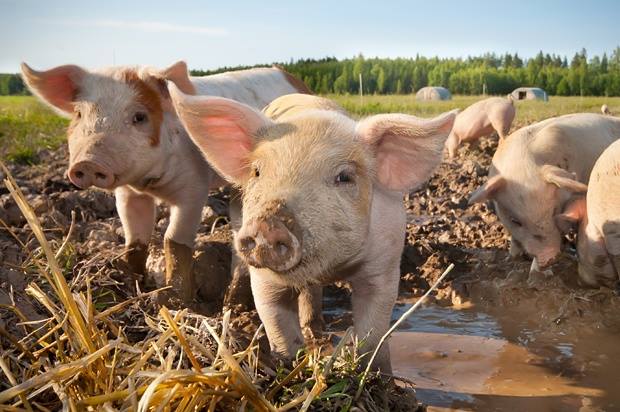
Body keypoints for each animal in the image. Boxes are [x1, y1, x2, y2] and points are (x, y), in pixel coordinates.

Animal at [20, 61, 310, 306]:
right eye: (79, 114)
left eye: (139, 117)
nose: (88, 163)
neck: (150, 184)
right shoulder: (128, 195)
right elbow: (135, 240)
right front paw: (132, 286)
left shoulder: (194, 188)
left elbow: (174, 240)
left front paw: (176, 302)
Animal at [170, 87, 456, 374]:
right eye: (257, 171)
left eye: (344, 177)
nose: (267, 224)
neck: (332, 267)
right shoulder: (264, 279)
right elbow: (277, 323)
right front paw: (289, 364)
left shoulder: (384, 264)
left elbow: (373, 332)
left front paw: (379, 375)